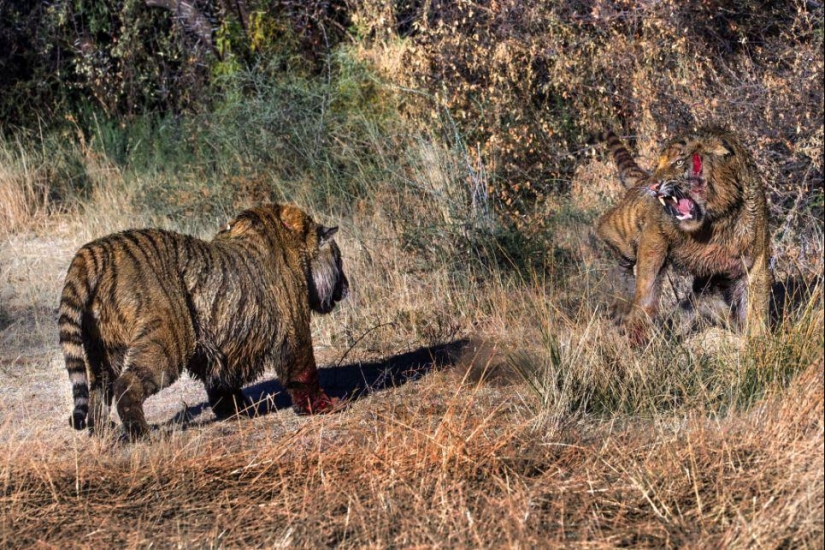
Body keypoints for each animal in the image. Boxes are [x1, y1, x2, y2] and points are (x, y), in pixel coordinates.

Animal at [59, 203, 349, 439]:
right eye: (339, 260)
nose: (346, 288)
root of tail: (95, 250)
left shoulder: (222, 343)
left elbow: (222, 382)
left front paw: (236, 410)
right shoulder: (293, 326)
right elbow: (304, 371)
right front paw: (326, 406)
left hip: (101, 349)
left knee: (99, 389)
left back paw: (102, 433)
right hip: (167, 342)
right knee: (126, 385)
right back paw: (141, 435)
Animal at [595, 127, 772, 343]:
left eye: (679, 162)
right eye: (658, 164)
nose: (653, 186)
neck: (713, 223)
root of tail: (642, 180)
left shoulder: (755, 260)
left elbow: (756, 308)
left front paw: (758, 342)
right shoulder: (654, 235)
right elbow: (647, 285)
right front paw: (638, 329)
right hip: (624, 230)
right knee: (606, 230)